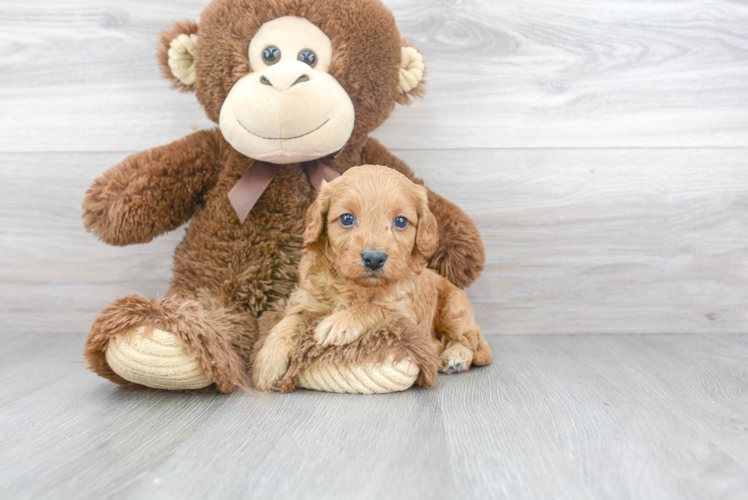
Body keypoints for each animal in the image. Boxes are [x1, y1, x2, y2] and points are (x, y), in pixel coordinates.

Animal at [254, 164, 494, 390]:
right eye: (347, 218)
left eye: (400, 221)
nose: (374, 258)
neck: (354, 285)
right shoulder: (305, 302)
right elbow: (287, 323)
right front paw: (267, 363)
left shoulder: (404, 313)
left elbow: (373, 308)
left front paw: (338, 324)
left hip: (454, 309)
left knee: (469, 340)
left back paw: (456, 356)